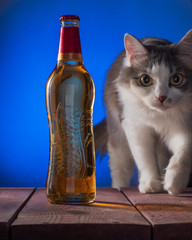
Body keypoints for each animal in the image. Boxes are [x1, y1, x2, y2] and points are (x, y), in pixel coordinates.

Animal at [94, 29, 192, 195]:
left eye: (176, 79)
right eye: (146, 80)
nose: (161, 97)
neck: (158, 116)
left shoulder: (182, 126)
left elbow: (183, 153)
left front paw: (174, 182)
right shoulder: (136, 128)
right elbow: (145, 159)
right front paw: (150, 183)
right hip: (118, 138)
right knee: (120, 169)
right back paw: (119, 187)